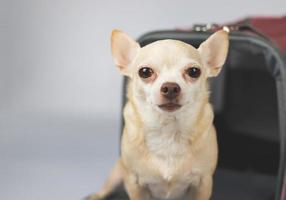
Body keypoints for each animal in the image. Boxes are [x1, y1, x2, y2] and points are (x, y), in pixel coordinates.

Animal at [87, 28, 228, 200]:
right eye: (145, 72)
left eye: (194, 72)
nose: (171, 87)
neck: (168, 131)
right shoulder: (134, 184)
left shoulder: (203, 183)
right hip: (117, 172)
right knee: (105, 188)